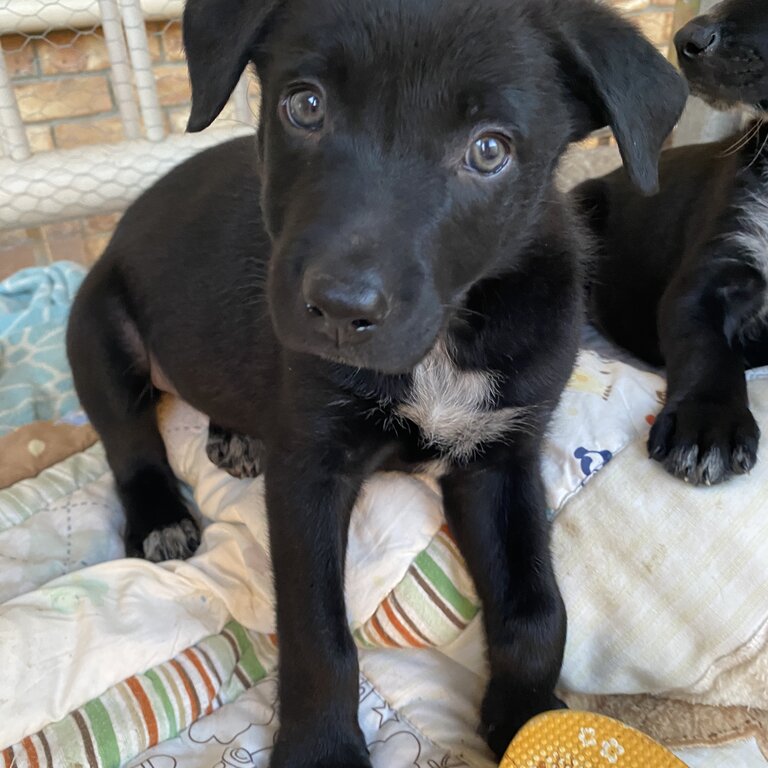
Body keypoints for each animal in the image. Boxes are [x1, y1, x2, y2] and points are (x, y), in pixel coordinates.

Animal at [66, 3, 684, 764]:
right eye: (305, 105)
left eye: (490, 150)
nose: (338, 310)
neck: (445, 338)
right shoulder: (310, 466)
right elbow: (317, 632)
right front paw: (322, 747)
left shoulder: (500, 458)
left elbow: (538, 609)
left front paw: (527, 716)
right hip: (98, 328)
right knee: (128, 438)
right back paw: (160, 516)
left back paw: (235, 434)